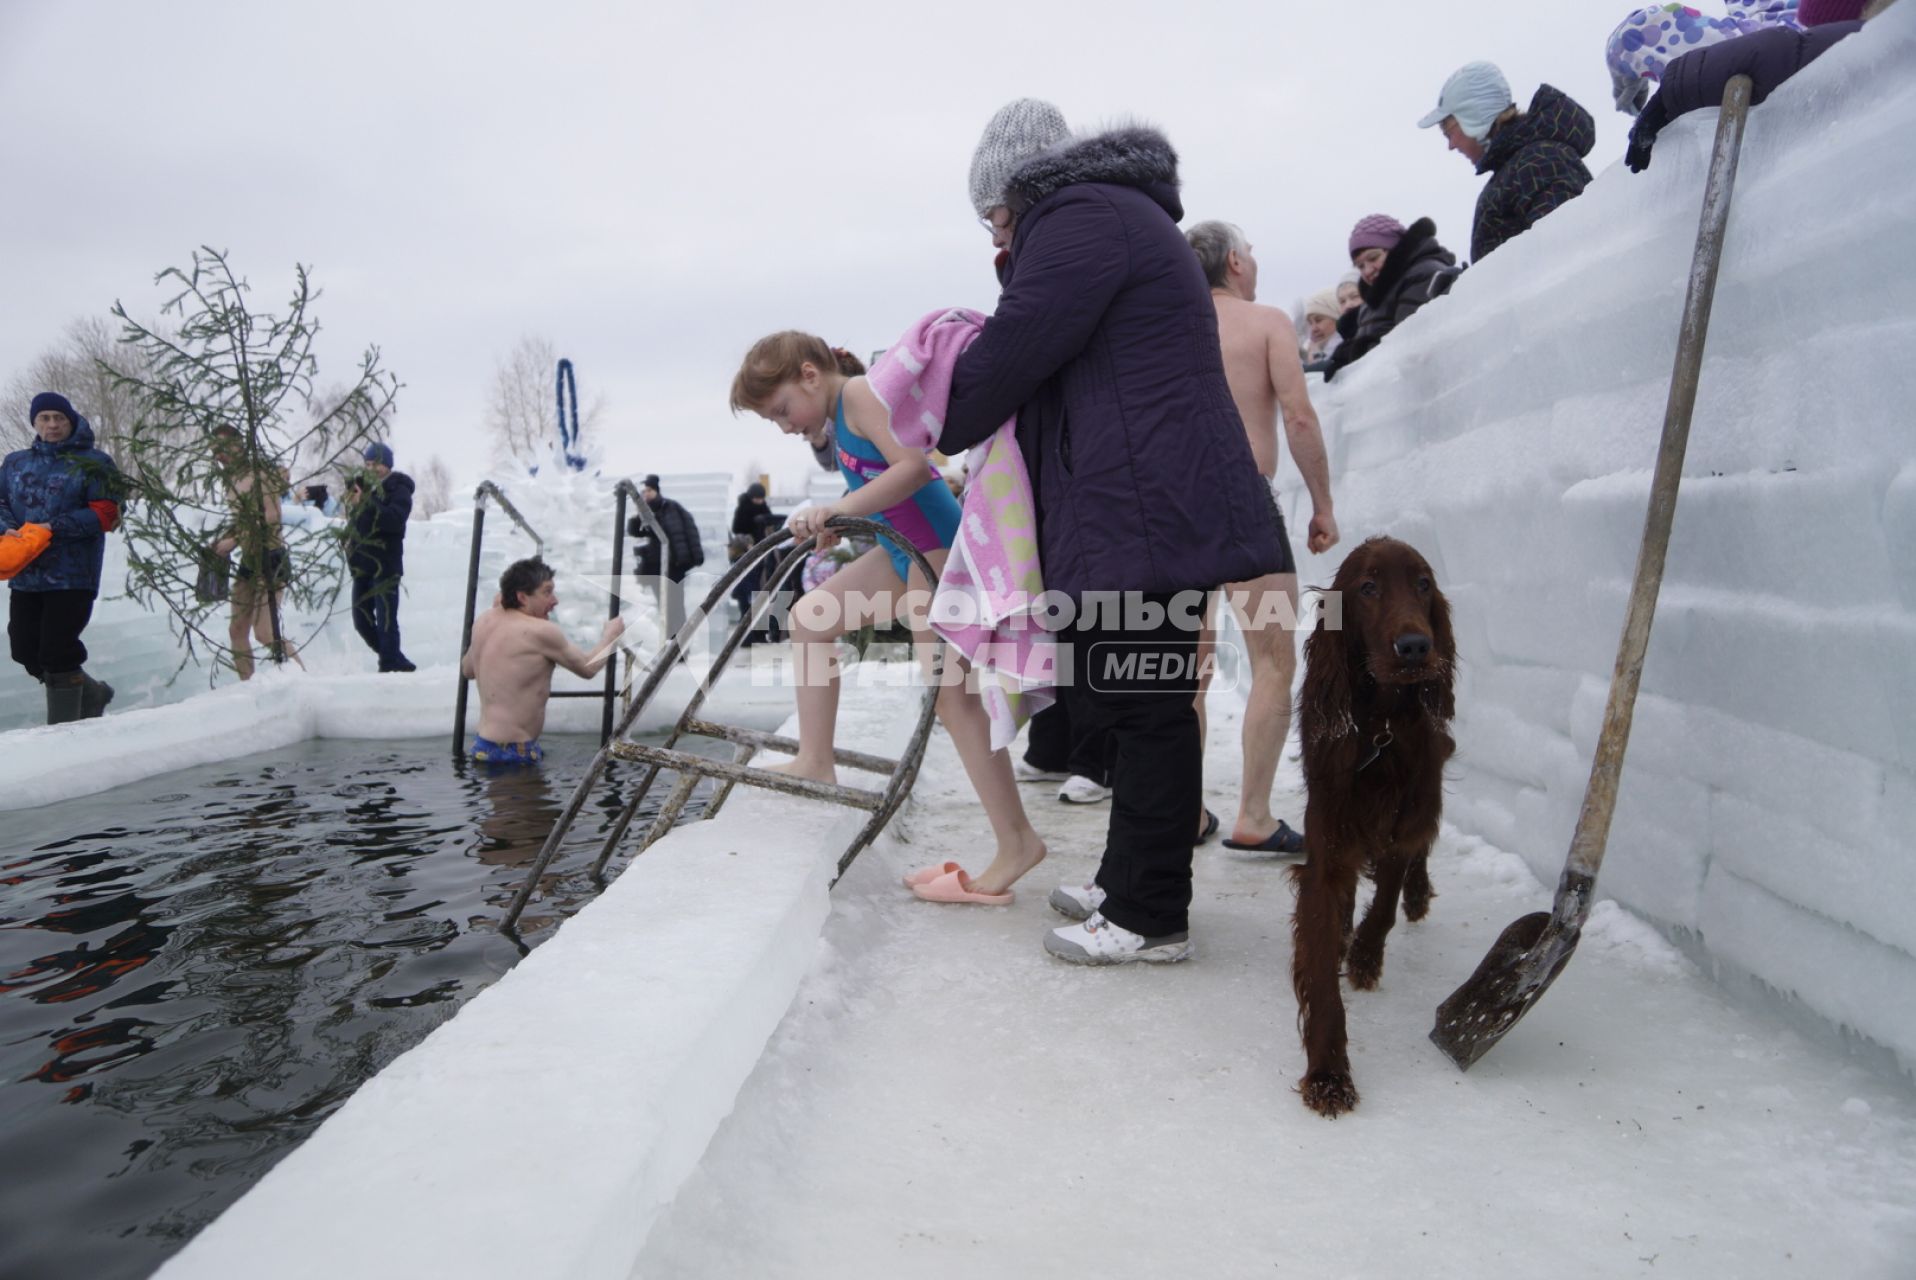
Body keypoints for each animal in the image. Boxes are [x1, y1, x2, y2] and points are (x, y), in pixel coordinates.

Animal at [1295, 536, 1456, 1111]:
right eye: (1367, 587)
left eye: (1424, 584)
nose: (1415, 647)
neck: (1381, 726)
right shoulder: (1327, 851)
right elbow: (1321, 967)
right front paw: (1329, 1073)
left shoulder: (1404, 820)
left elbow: (1386, 896)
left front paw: (1366, 954)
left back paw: (1416, 895)